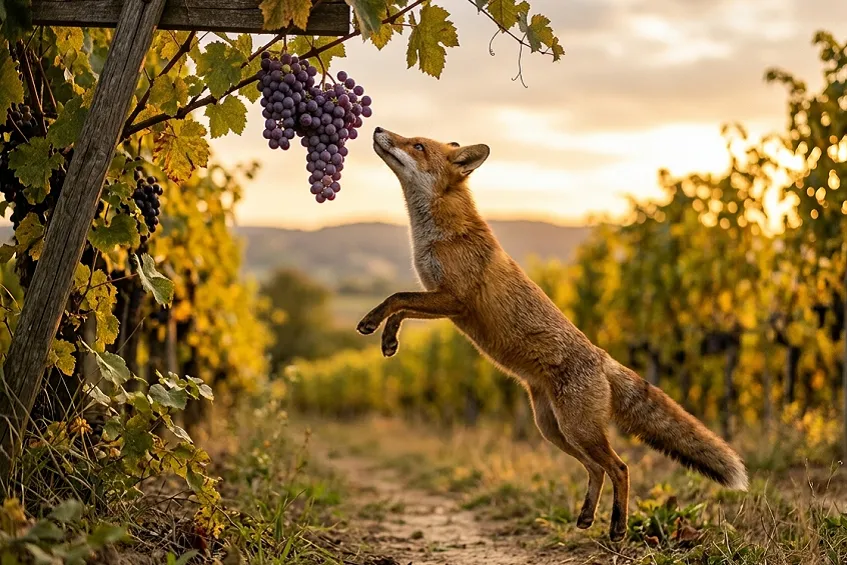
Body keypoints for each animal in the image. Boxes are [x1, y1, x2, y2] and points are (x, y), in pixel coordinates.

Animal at [357, 127, 749, 541]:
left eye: (417, 145)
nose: (378, 129)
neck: (442, 234)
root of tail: (602, 356)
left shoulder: (454, 299)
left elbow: (396, 298)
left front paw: (371, 323)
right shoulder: (442, 302)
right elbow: (400, 307)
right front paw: (387, 339)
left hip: (578, 429)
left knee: (619, 467)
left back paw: (618, 527)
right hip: (555, 430)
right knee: (597, 469)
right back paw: (587, 517)